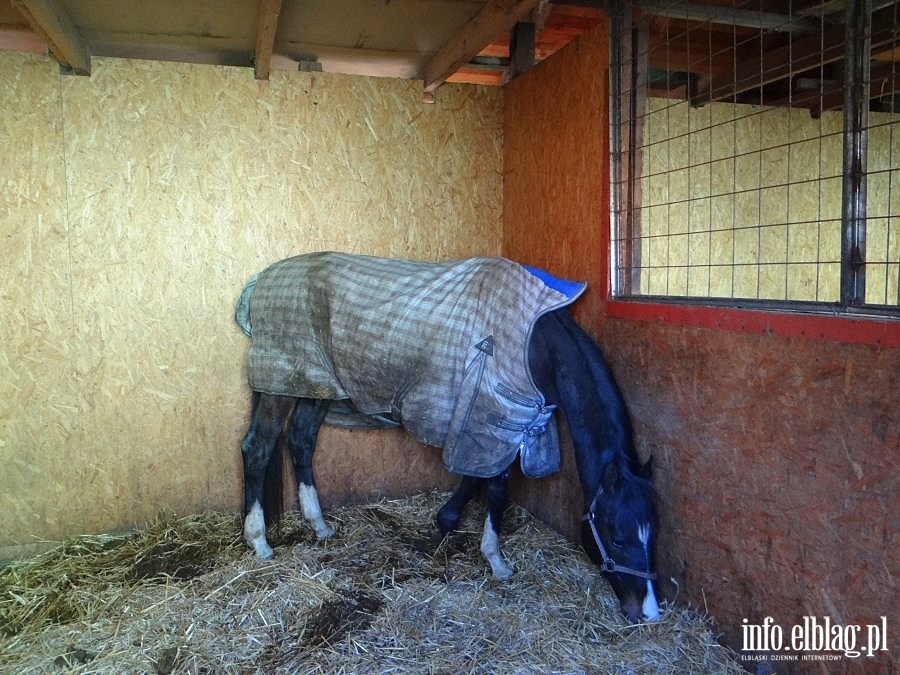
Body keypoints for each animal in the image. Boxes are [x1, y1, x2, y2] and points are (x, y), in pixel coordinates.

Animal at [237, 252, 660, 624]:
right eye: (616, 536)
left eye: (653, 533)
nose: (650, 613)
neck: (533, 343)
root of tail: (262, 279)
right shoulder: (490, 420)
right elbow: (495, 489)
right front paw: (495, 559)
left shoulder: (504, 425)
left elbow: (477, 478)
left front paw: (448, 519)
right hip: (282, 384)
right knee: (258, 448)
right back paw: (259, 541)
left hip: (316, 387)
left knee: (301, 442)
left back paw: (320, 526)